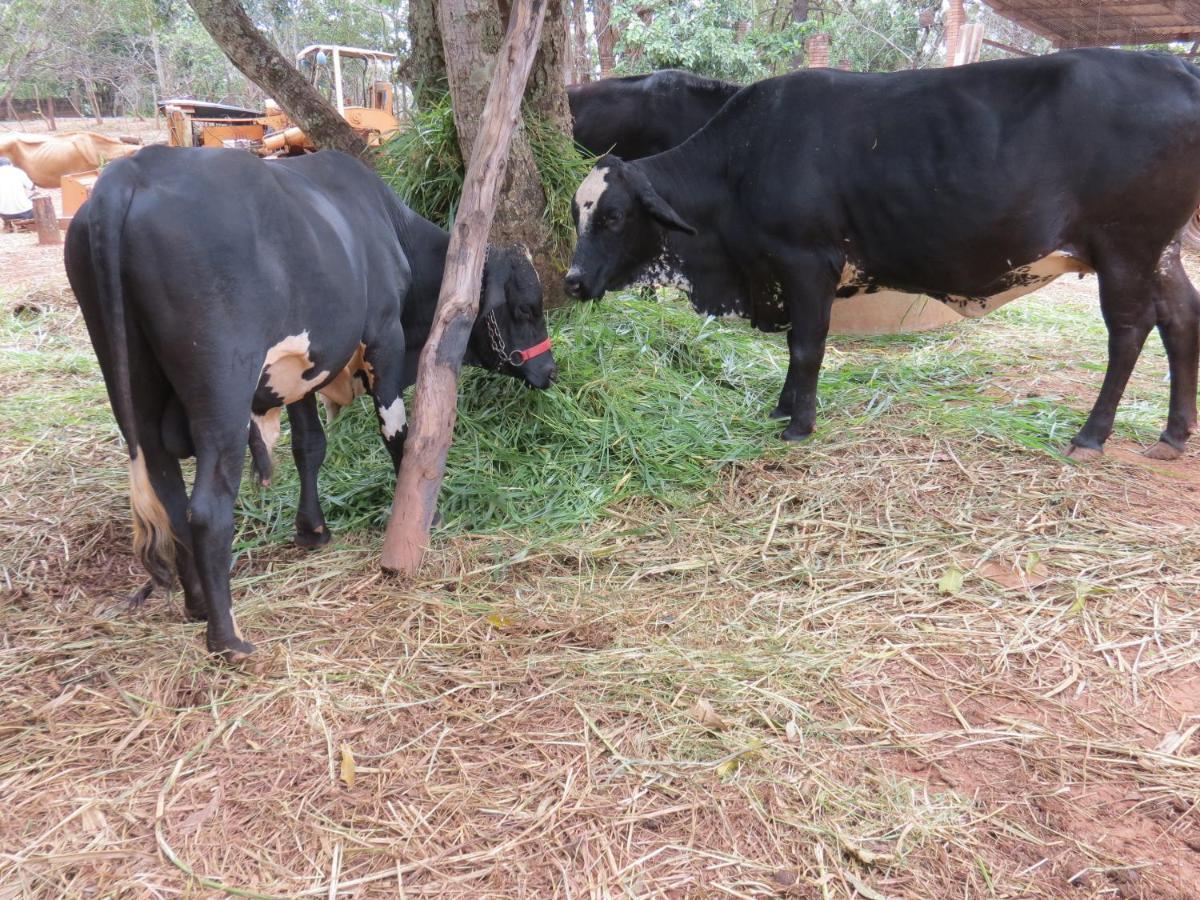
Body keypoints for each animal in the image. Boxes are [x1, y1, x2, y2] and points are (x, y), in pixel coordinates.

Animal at [71, 144, 561, 657]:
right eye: (526, 308)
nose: (549, 371)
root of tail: (132, 171)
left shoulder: (299, 371)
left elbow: (309, 445)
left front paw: (312, 530)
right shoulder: (384, 338)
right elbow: (397, 434)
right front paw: (427, 514)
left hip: (137, 400)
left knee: (168, 495)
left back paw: (198, 604)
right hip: (222, 397)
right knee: (207, 508)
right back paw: (227, 638)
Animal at [566, 49, 1200, 458]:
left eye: (614, 216)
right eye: (577, 212)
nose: (572, 281)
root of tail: (1176, 66)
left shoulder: (807, 261)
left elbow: (807, 345)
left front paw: (798, 424)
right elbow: (798, 345)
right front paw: (782, 408)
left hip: (1126, 247)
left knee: (1129, 331)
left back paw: (1091, 436)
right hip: (1161, 252)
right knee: (1180, 320)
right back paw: (1172, 436)